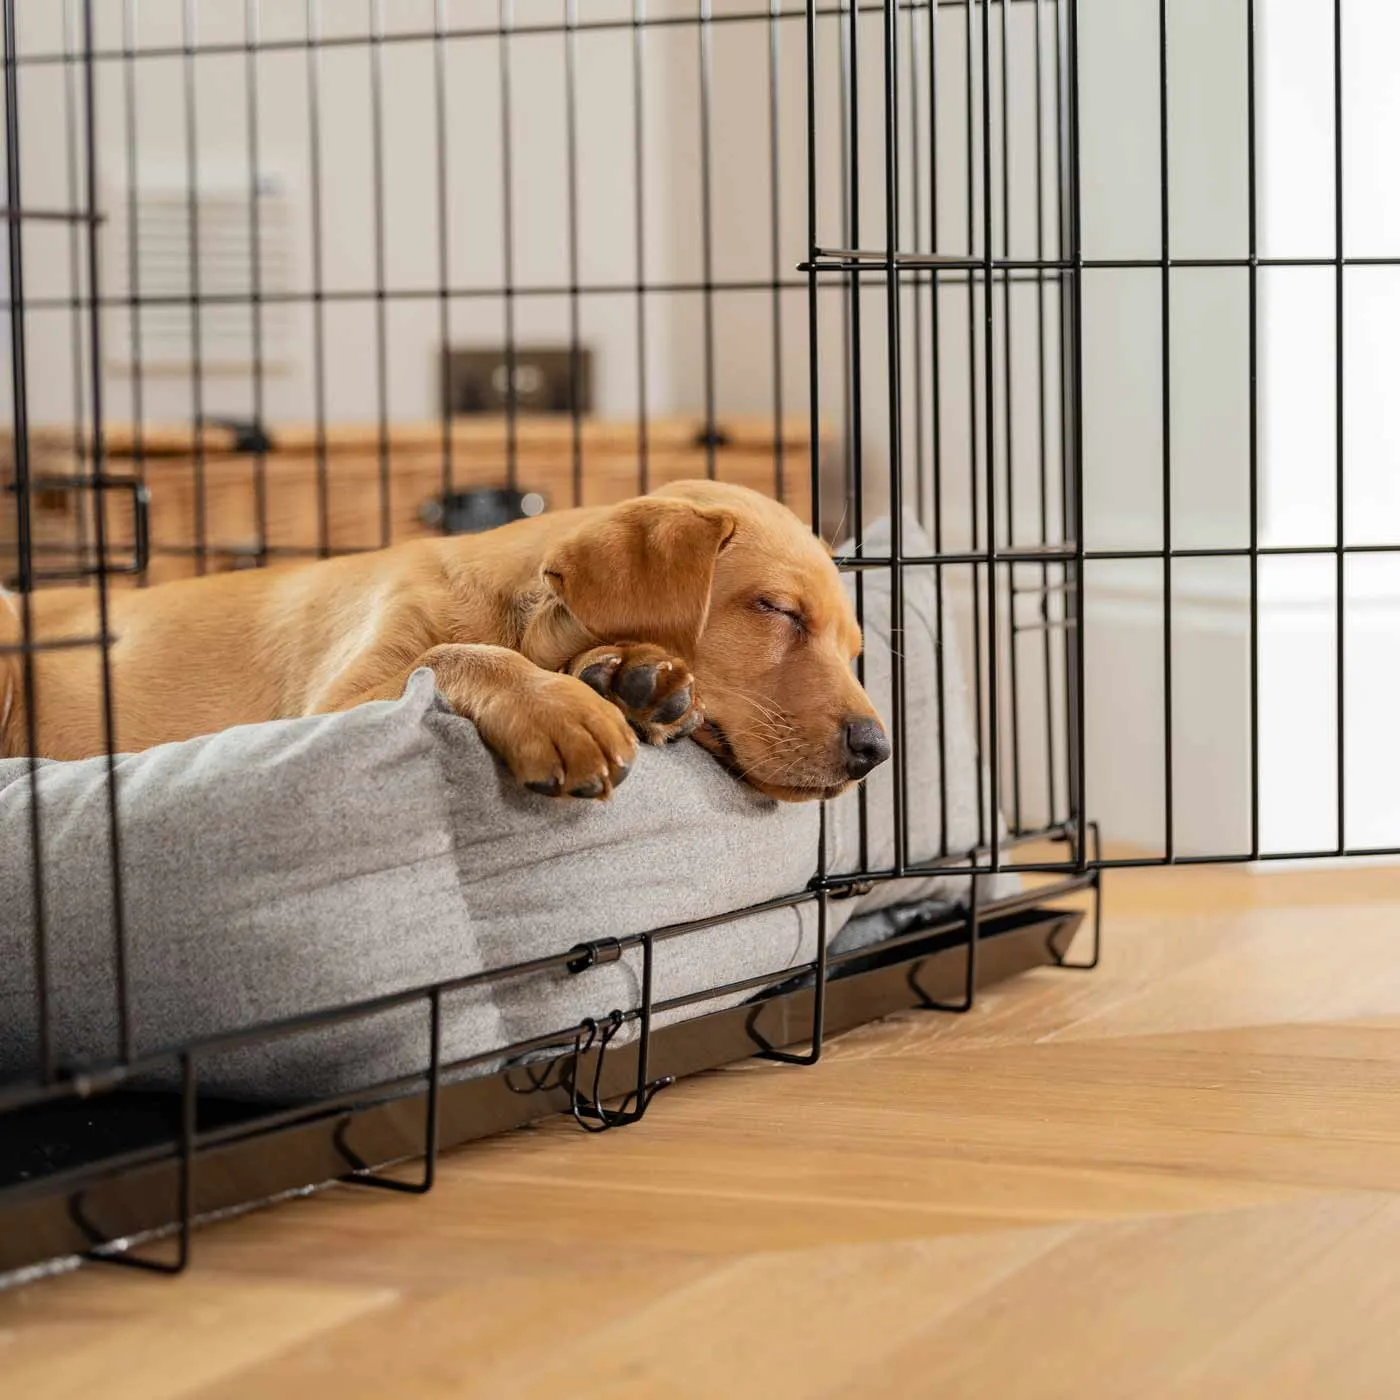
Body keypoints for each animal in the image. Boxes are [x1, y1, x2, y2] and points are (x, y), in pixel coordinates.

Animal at [0, 481, 890, 806]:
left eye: (855, 646)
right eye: (776, 610)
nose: (876, 749)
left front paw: (631, 677)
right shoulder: (329, 708)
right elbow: (450, 654)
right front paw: (558, 705)